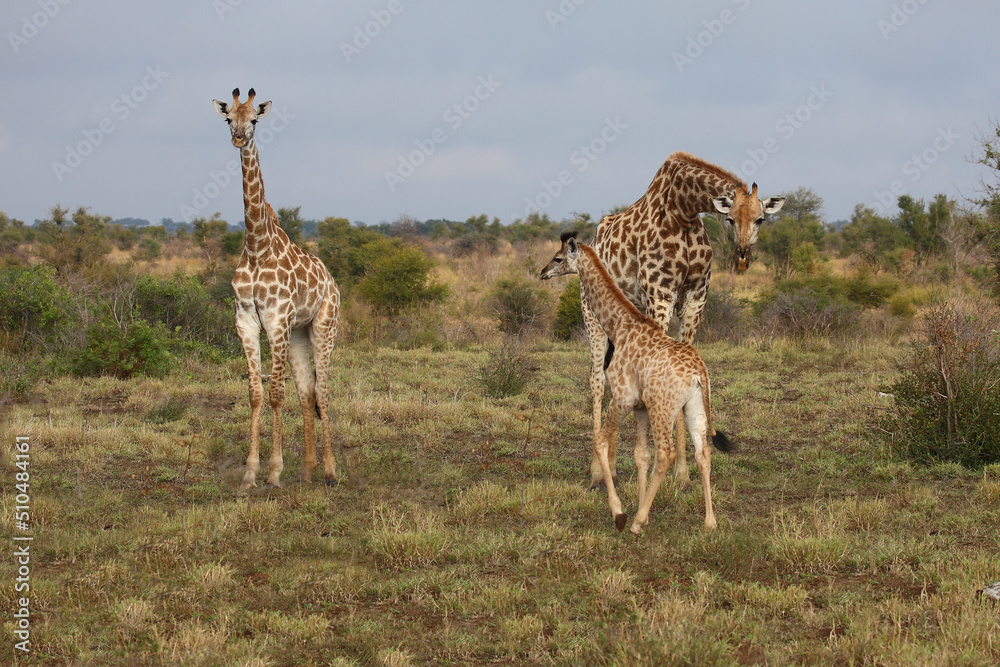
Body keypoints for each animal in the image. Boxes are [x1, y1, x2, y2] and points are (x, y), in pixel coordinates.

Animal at [212, 88, 341, 490]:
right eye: (228, 118)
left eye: (254, 118)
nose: (239, 137)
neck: (256, 245)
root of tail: (333, 281)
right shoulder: (246, 322)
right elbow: (256, 393)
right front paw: (250, 473)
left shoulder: (276, 321)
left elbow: (275, 394)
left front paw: (273, 470)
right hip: (299, 333)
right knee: (307, 392)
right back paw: (309, 469)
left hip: (323, 327)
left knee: (323, 393)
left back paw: (330, 471)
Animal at [541, 231, 733, 533]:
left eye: (558, 257)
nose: (543, 272)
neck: (620, 327)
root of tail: (699, 373)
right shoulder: (640, 407)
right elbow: (641, 455)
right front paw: (644, 511)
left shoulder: (622, 398)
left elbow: (601, 441)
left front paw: (620, 512)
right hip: (694, 407)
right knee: (703, 452)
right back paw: (709, 521)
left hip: (663, 408)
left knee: (666, 453)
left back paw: (636, 521)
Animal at [581, 151, 783, 489]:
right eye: (729, 219)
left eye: (760, 219)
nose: (742, 257)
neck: (684, 211)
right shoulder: (659, 295)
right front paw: (654, 471)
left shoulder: (695, 298)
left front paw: (683, 474)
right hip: (590, 313)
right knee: (596, 379)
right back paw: (597, 471)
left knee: (611, 376)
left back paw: (612, 464)